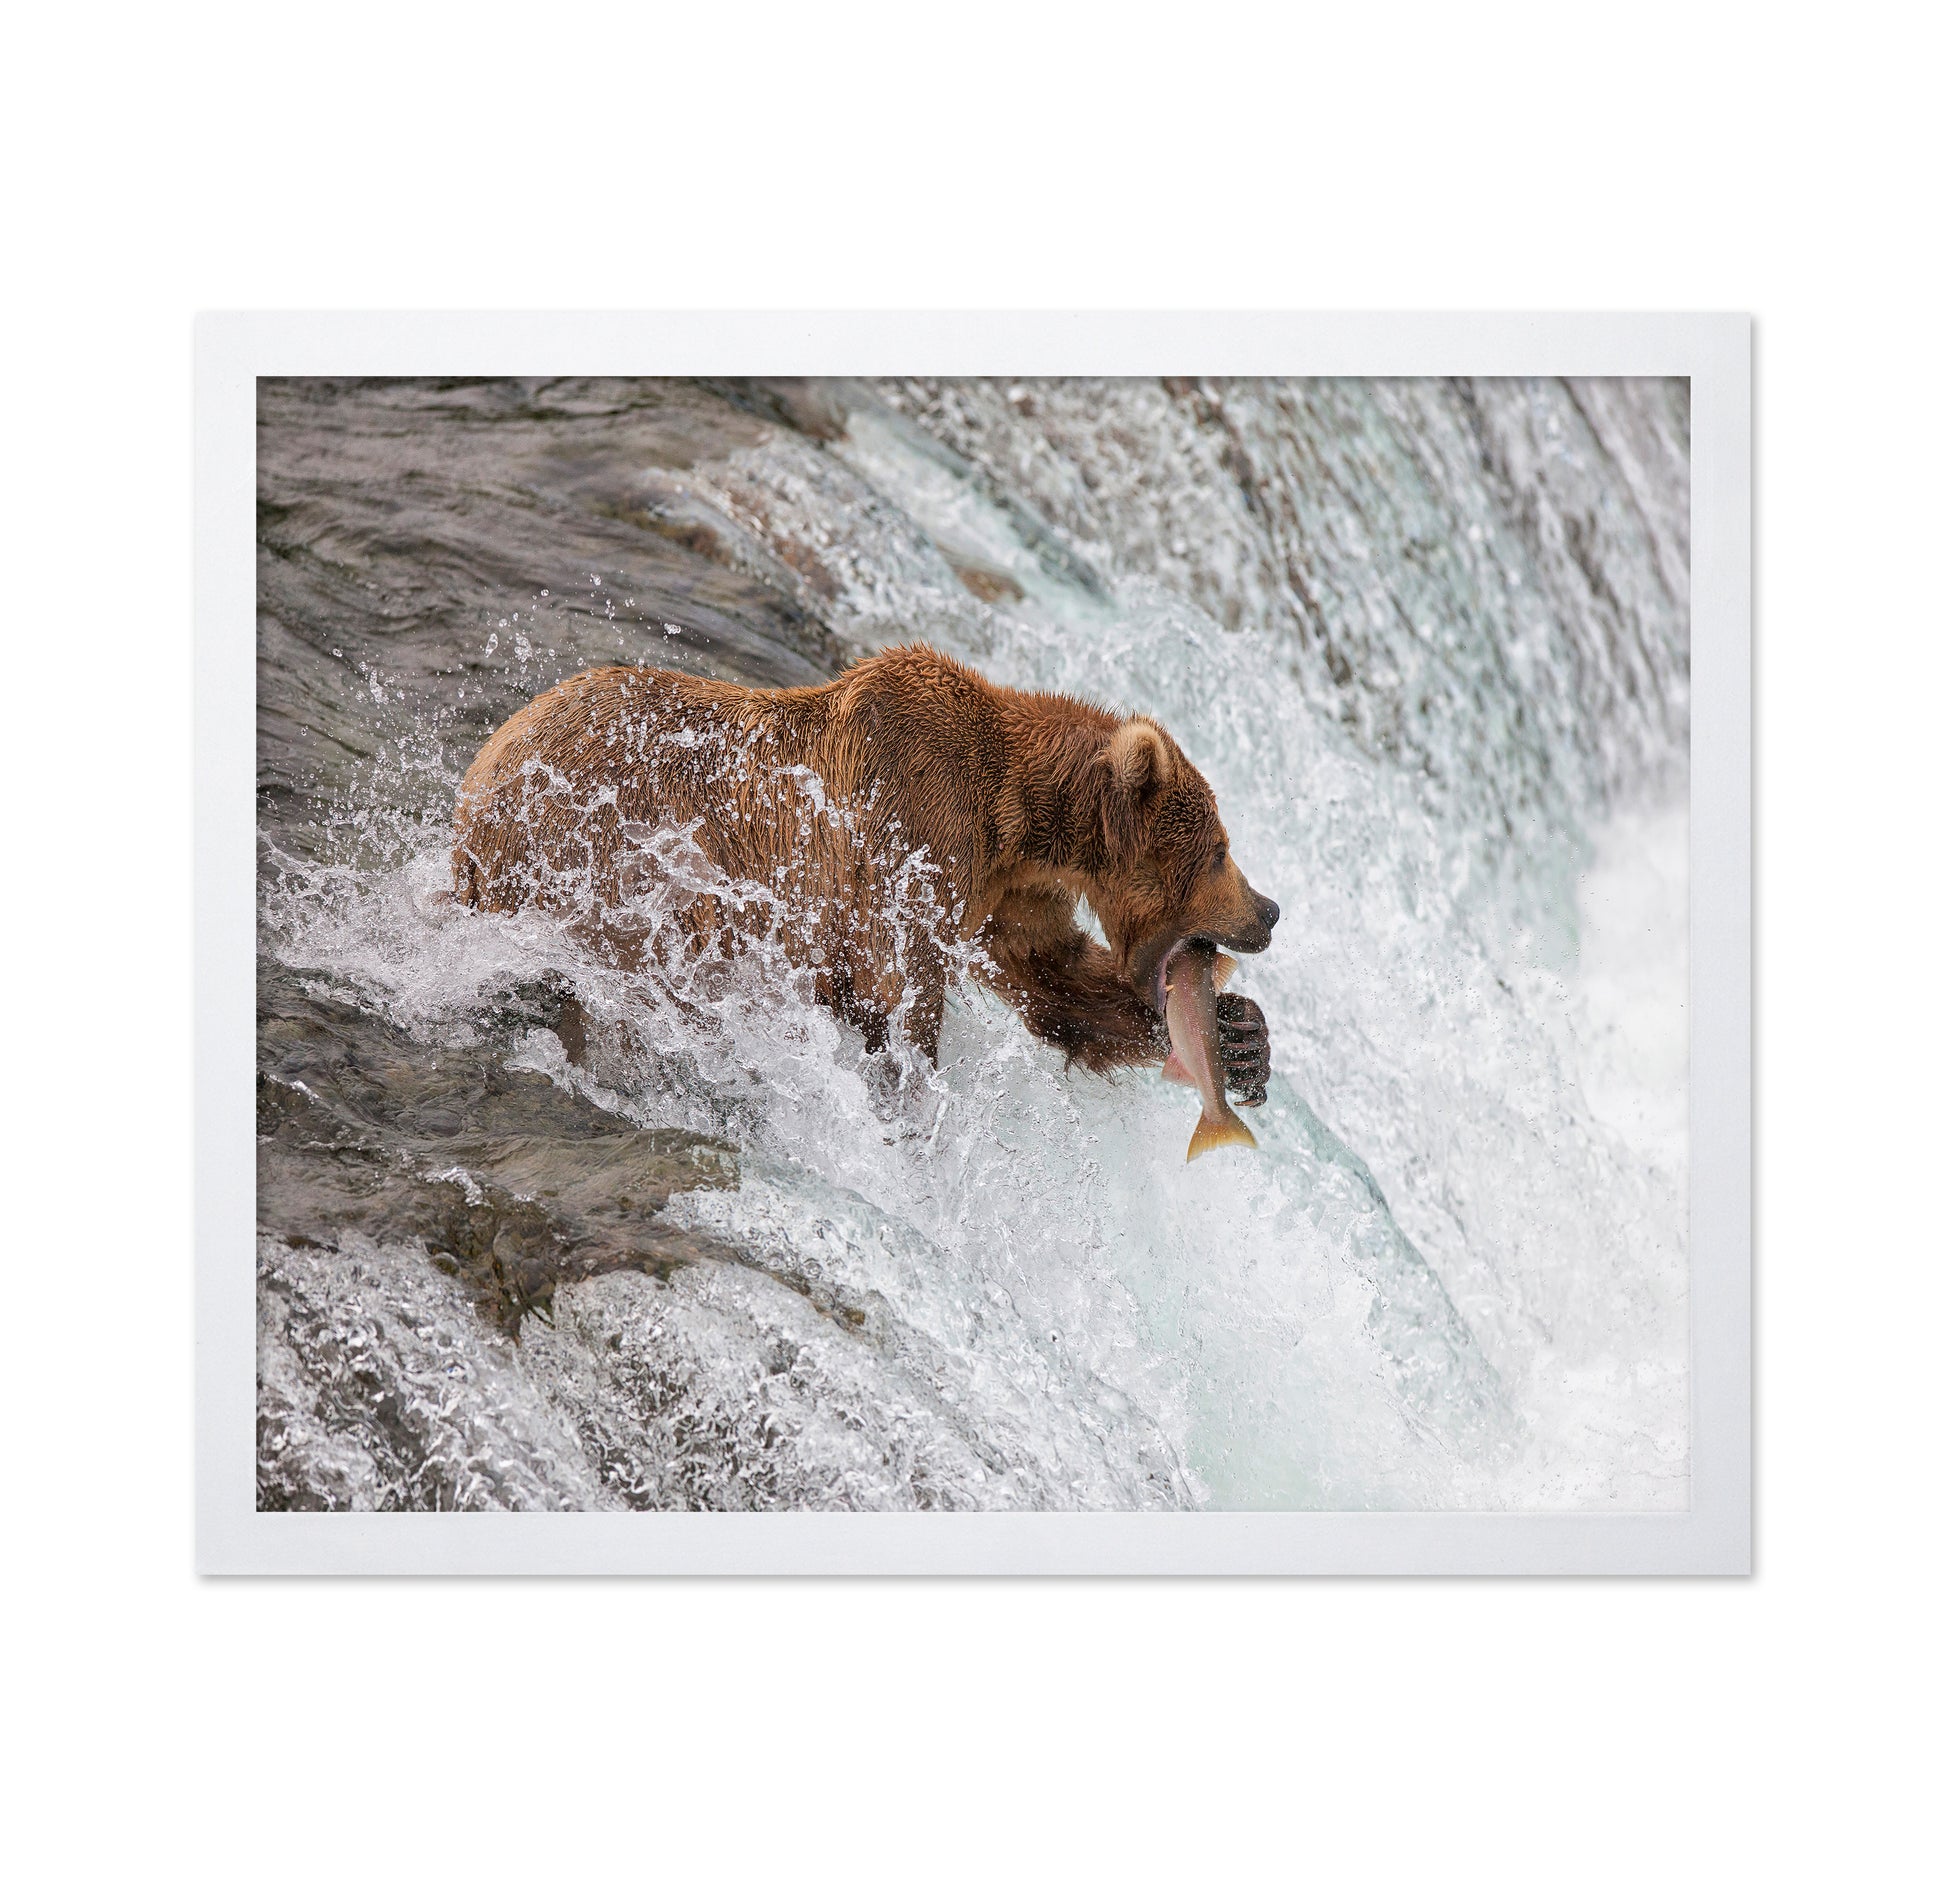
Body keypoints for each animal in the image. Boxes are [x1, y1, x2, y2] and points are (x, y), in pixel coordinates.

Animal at [451, 644, 1277, 1101]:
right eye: (1219, 849)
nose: (1268, 909)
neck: (1014, 817)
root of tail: (473, 792)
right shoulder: (910, 833)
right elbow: (901, 990)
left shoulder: (1004, 895)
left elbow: (1053, 978)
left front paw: (1241, 1035)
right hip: (607, 853)